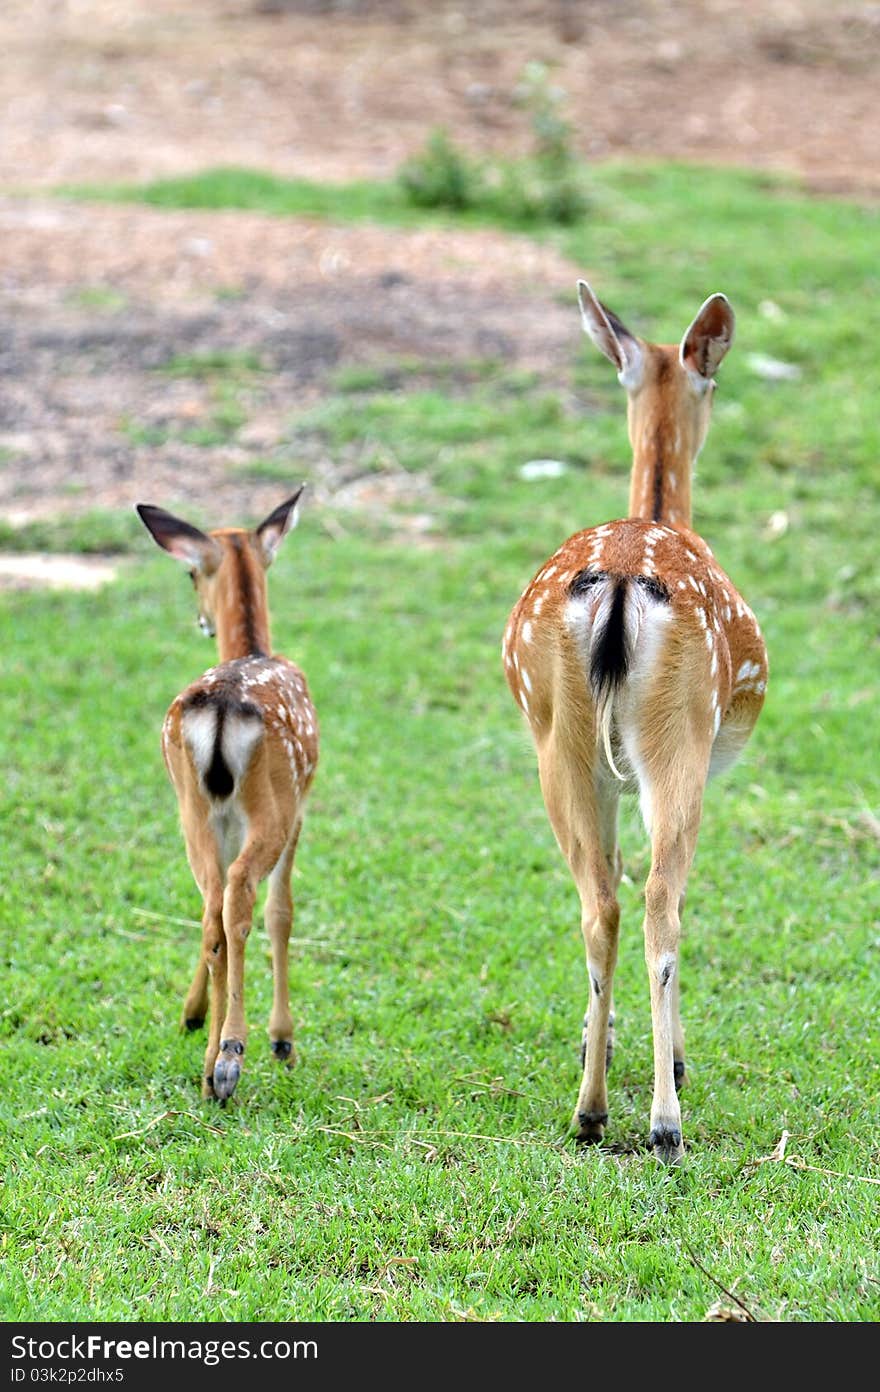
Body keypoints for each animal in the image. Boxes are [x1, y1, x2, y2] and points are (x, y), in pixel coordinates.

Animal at [135, 495, 317, 1102]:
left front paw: (191, 1014)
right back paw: (232, 1056)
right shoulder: (300, 806)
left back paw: (210, 1060)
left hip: (192, 807)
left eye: (192, 573)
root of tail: (218, 710)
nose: (200, 620)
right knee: (238, 899)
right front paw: (283, 1039)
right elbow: (282, 911)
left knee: (212, 906)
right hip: (270, 804)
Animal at [504, 282, 768, 1163]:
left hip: (563, 743)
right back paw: (662, 1120)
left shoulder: (609, 781)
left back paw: (589, 1107)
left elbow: (611, 877)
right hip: (675, 736)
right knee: (659, 903)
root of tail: (620, 581)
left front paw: (601, 1040)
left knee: (601, 902)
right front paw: (672, 1057)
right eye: (712, 385)